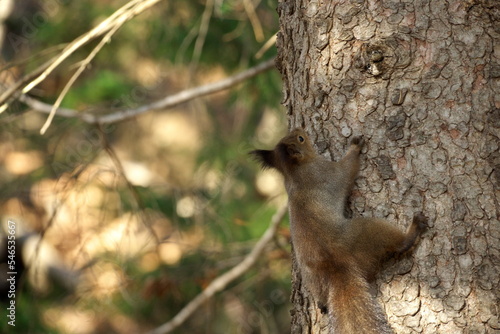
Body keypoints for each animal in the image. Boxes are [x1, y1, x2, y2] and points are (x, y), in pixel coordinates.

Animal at [252, 129, 428, 334]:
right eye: (301, 139)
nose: (299, 129)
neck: (293, 172)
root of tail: (337, 266)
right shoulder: (327, 171)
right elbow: (346, 169)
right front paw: (355, 145)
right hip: (368, 233)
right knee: (399, 243)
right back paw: (413, 229)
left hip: (312, 279)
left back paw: (322, 304)